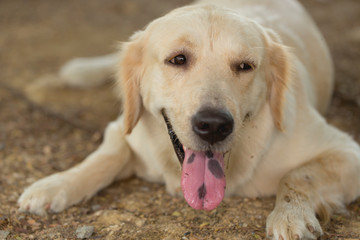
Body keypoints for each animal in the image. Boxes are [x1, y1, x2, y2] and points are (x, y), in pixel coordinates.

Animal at [17, 0, 360, 239]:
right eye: (178, 59)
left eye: (245, 66)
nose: (213, 125)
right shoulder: (124, 129)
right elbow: (103, 158)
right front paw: (55, 185)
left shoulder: (347, 152)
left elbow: (298, 175)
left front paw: (291, 216)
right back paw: (81, 69)